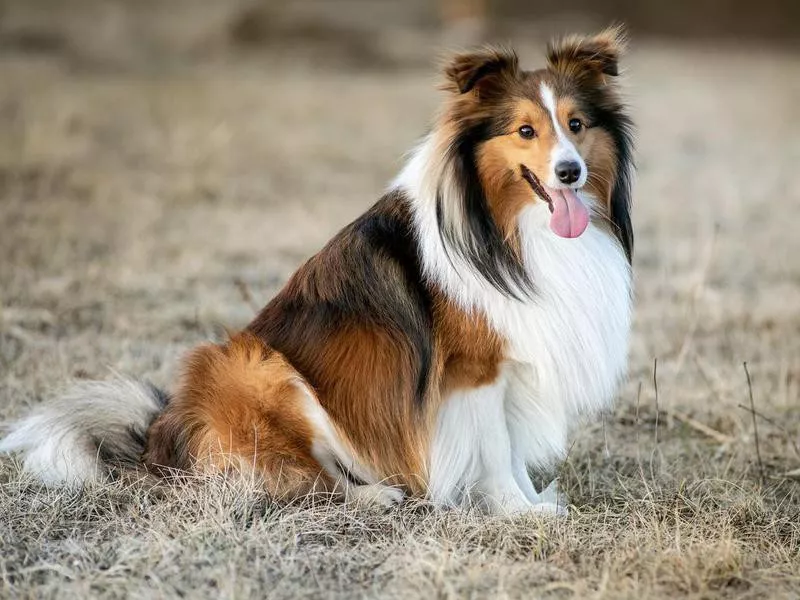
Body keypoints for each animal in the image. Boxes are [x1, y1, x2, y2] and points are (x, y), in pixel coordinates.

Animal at [1, 27, 636, 516]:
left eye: (576, 125)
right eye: (525, 130)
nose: (570, 172)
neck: (508, 228)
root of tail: (158, 442)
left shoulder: (514, 362)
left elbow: (511, 448)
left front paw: (535, 502)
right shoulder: (473, 372)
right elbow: (498, 451)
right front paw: (516, 511)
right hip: (259, 369)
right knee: (305, 483)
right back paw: (376, 497)